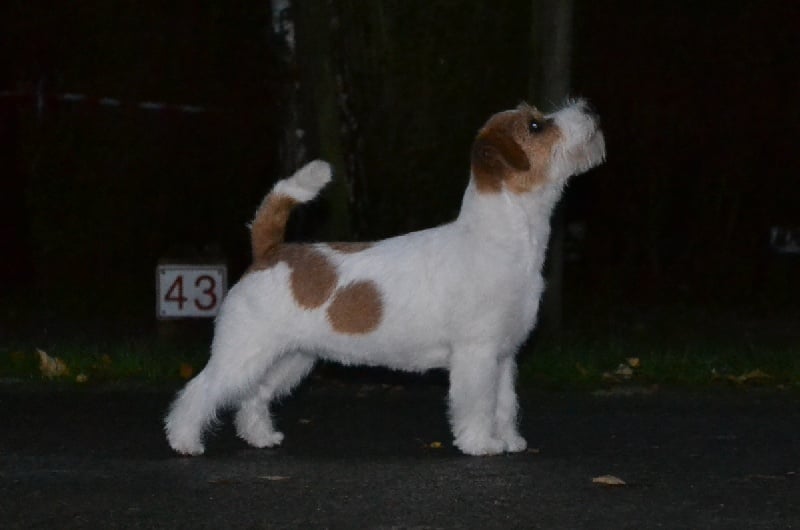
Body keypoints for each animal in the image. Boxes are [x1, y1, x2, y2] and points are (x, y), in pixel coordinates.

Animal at [165, 99, 605, 456]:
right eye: (535, 125)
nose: (591, 112)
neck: (500, 237)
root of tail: (269, 251)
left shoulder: (504, 356)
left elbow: (504, 403)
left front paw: (510, 439)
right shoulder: (477, 354)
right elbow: (477, 404)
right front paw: (481, 444)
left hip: (290, 357)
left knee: (254, 395)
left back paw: (260, 436)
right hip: (243, 352)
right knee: (200, 391)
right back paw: (184, 441)